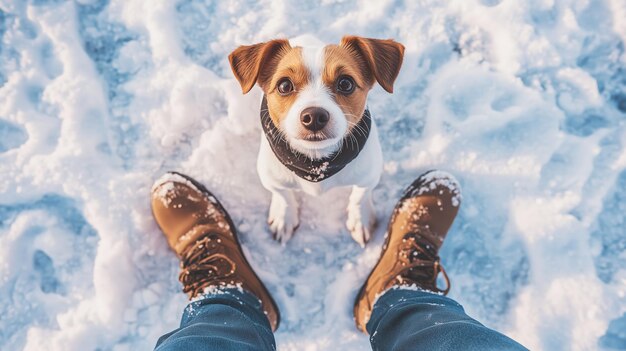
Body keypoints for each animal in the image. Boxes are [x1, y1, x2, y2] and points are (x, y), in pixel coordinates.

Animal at [227, 34, 402, 246]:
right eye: (284, 85)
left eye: (346, 83)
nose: (314, 116)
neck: (316, 163)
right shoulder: (271, 178)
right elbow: (284, 195)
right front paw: (284, 217)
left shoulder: (369, 175)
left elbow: (359, 196)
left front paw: (361, 219)